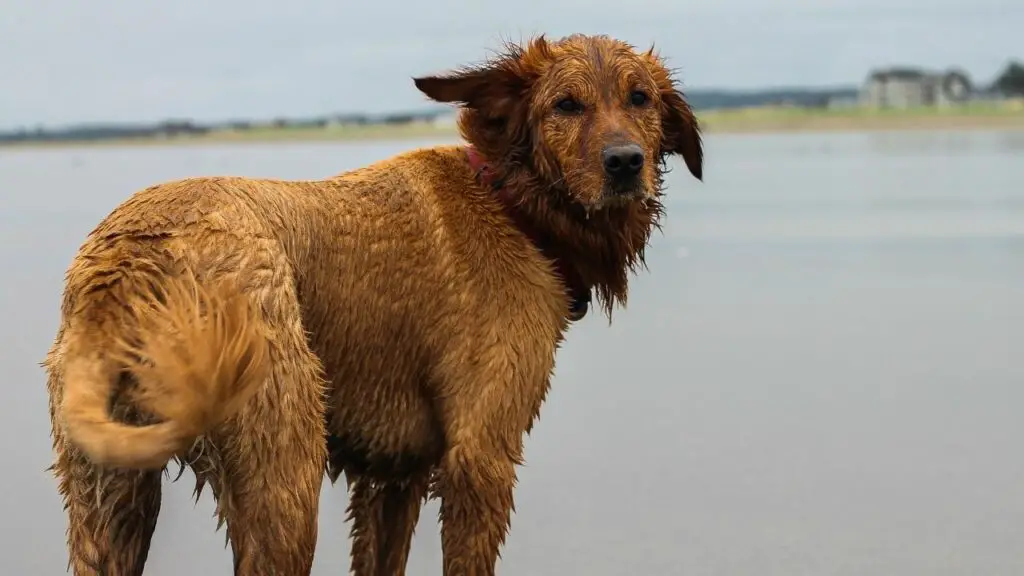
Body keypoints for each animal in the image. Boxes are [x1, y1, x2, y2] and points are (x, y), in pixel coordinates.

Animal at [41, 33, 704, 569]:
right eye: (566, 105)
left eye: (641, 98)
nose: (626, 164)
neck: (511, 204)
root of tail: (128, 265)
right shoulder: (481, 457)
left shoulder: (394, 474)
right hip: (284, 474)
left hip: (108, 497)